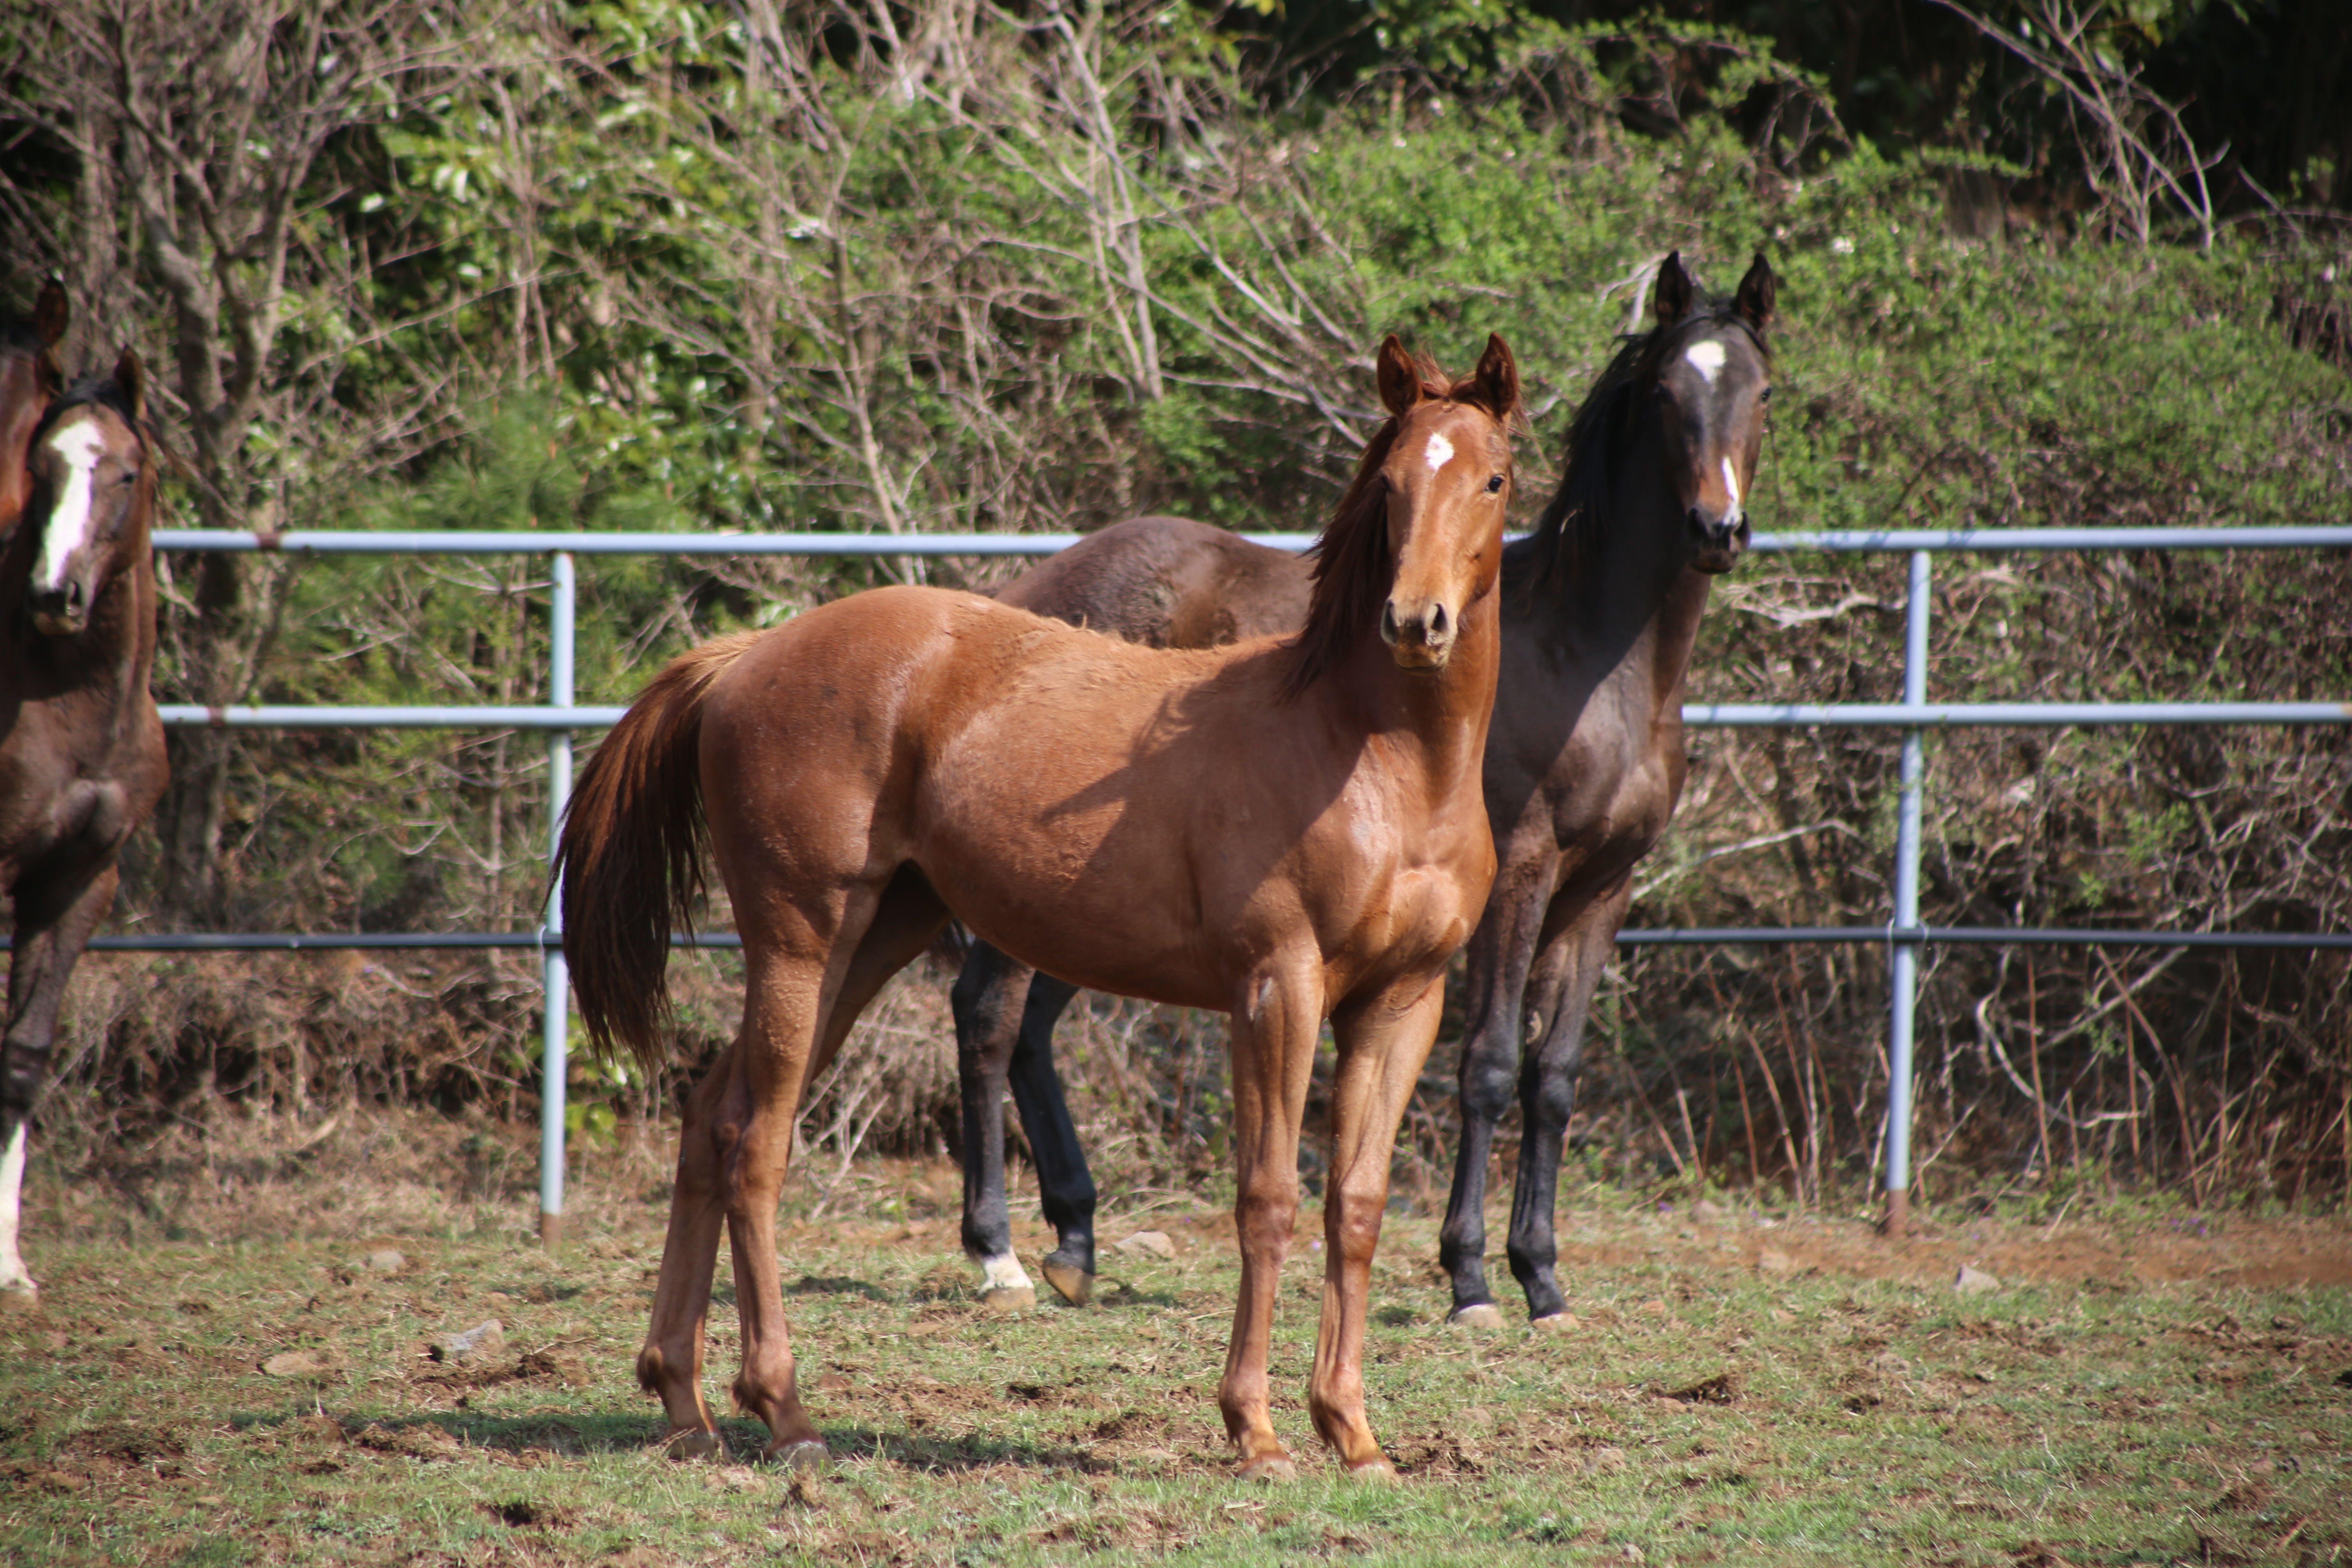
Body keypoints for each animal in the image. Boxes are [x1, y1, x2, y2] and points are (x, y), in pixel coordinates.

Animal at [564, 339, 1524, 1476]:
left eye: (1493, 479)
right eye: (1389, 485)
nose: (1415, 622)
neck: (1376, 758)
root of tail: (746, 657)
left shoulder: (1401, 1002)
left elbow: (1358, 1206)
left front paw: (1352, 1429)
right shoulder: (1275, 986)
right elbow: (1268, 1198)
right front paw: (1253, 1428)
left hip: (870, 941)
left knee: (711, 1119)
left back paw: (683, 1402)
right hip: (800, 941)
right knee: (755, 1144)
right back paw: (784, 1411)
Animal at [945, 255, 1768, 1326]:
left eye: (1760, 392)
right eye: (1667, 392)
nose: (1716, 528)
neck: (1589, 658)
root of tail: (1025, 597)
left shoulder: (1602, 887)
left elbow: (1553, 1075)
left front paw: (1542, 1277)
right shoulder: (1522, 871)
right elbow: (1487, 1062)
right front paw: (1470, 1278)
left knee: (1031, 1028)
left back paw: (1075, 1241)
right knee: (989, 1015)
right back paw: (997, 1252)